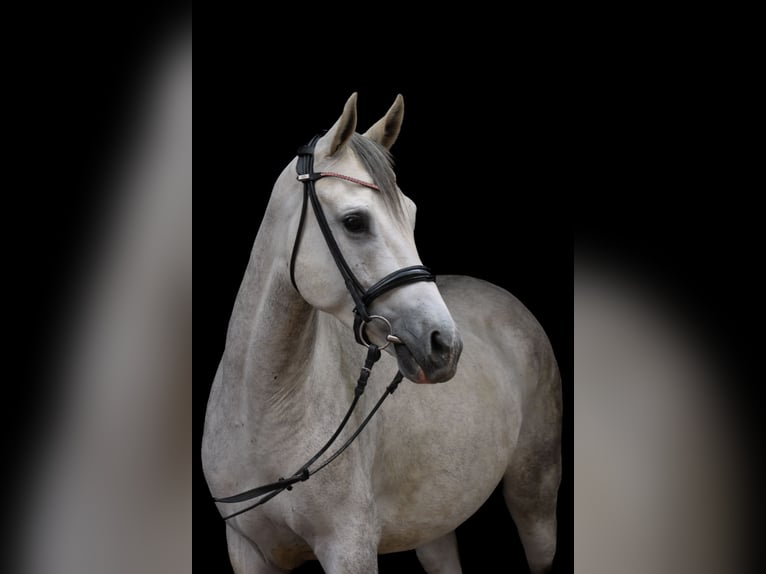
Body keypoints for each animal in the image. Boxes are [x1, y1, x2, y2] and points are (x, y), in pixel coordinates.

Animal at [202, 93, 562, 573]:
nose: (444, 346)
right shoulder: (247, 549)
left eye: (411, 214)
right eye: (355, 221)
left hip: (535, 500)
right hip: (434, 525)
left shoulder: (348, 547)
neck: (265, 413)